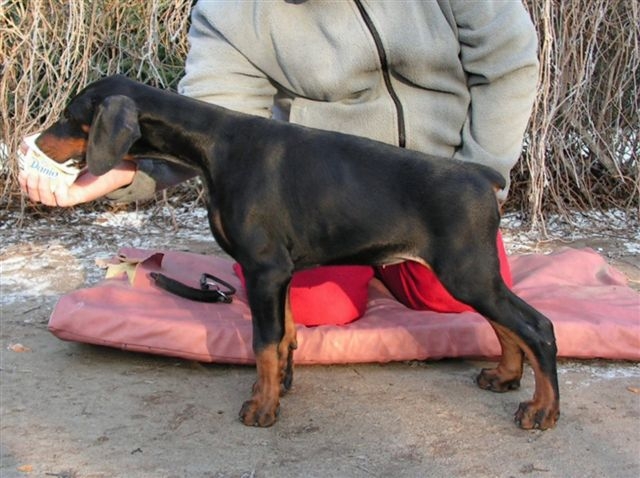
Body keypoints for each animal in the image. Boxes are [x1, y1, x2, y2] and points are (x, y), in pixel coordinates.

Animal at [35, 74, 556, 430]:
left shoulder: (263, 268)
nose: (36, 140)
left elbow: (263, 342)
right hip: (472, 274)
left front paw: (261, 408)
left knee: (537, 327)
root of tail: (482, 177)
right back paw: (505, 377)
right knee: (507, 325)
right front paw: (277, 388)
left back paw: (542, 409)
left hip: (465, 271)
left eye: (70, 115)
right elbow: (285, 335)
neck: (215, 147)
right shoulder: (279, 273)